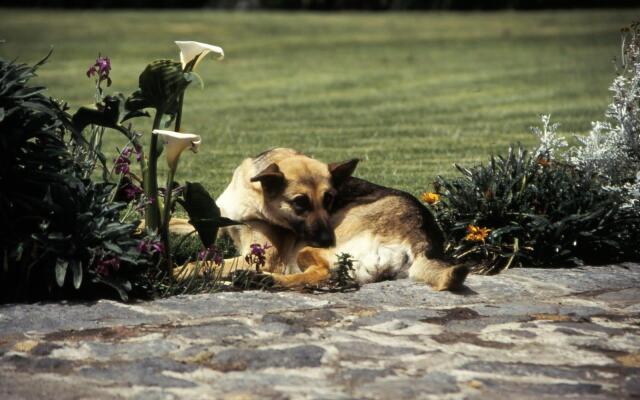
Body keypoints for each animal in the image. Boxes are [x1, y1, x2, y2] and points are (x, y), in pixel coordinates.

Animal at [212, 148, 468, 290]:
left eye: (330, 200)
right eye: (300, 203)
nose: (328, 239)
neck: (251, 192)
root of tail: (423, 239)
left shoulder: (262, 257)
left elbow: (208, 263)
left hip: (306, 249)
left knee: (322, 272)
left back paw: (260, 280)